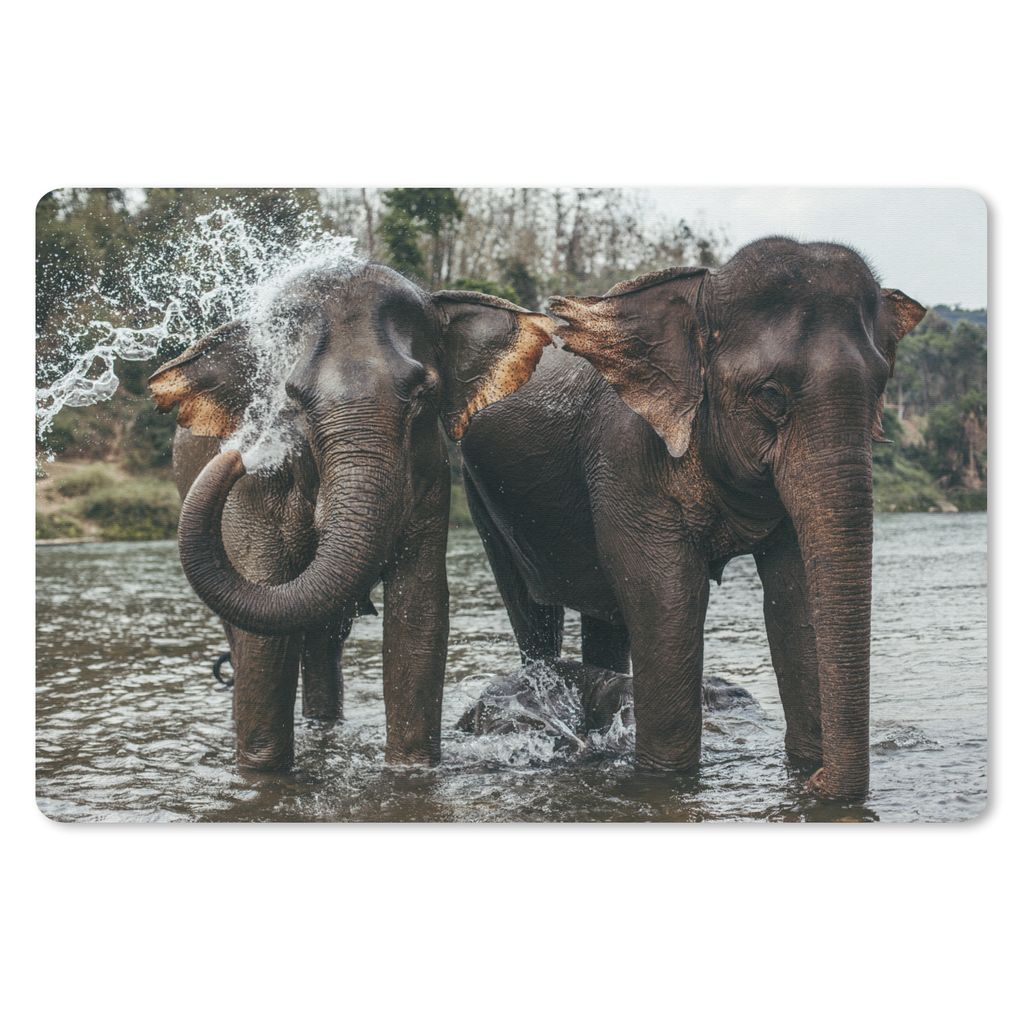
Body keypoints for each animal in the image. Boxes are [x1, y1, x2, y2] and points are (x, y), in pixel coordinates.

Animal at [148, 262, 556, 770]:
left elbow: (419, 611)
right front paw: (262, 772)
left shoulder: (429, 474)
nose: (240, 455)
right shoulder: (254, 494)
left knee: (323, 640)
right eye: (292, 398)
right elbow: (264, 624)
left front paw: (411, 770)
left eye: (422, 393)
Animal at [459, 237, 926, 800]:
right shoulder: (626, 455)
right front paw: (668, 777)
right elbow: (666, 595)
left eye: (881, 388)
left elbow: (795, 595)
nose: (818, 784)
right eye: (770, 394)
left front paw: (804, 767)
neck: (703, 292)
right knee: (533, 610)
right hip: (479, 493)